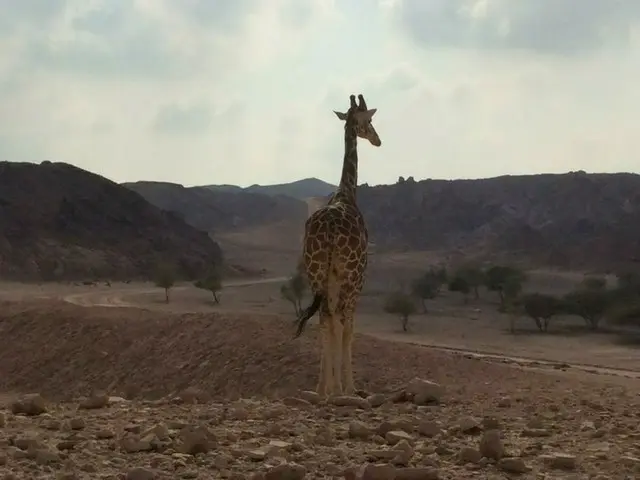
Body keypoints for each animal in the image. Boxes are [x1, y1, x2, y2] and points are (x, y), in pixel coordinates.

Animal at [294, 94, 380, 398]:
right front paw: (347, 387)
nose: (378, 140)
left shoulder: (330, 274)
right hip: (350, 273)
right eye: (369, 120)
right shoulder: (358, 274)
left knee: (324, 316)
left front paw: (327, 387)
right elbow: (348, 326)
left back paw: (322, 389)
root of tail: (329, 229)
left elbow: (329, 322)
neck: (347, 192)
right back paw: (341, 387)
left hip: (315, 270)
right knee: (339, 317)